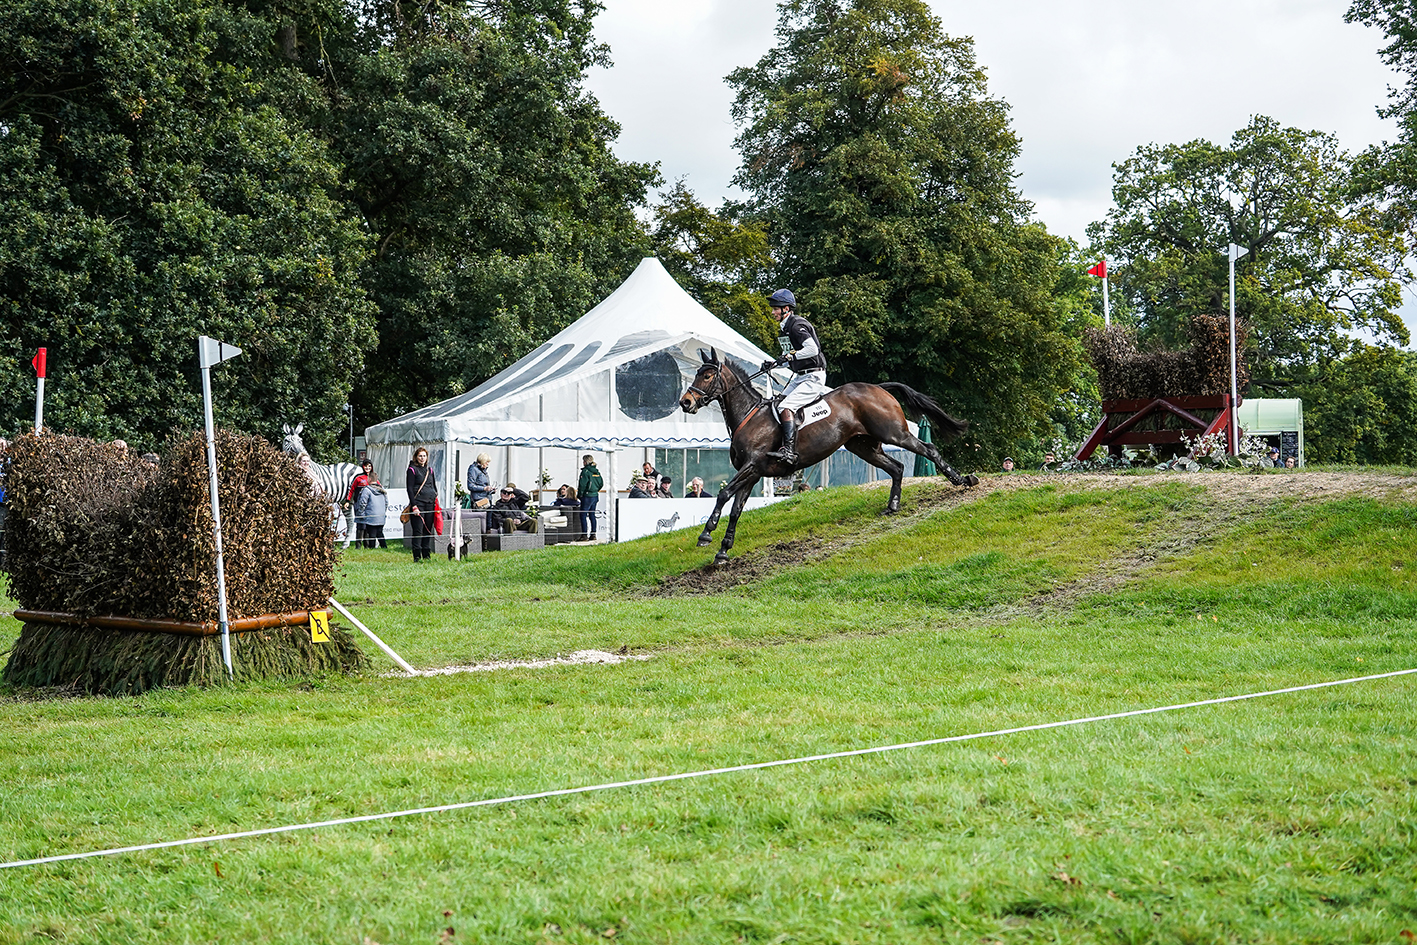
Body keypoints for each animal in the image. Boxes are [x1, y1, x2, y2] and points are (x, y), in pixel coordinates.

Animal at [674, 351, 974, 566]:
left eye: (707, 375)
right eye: (698, 373)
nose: (685, 402)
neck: (750, 415)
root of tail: (877, 387)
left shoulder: (752, 467)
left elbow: (723, 495)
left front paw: (706, 534)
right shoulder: (753, 474)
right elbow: (736, 509)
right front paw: (723, 551)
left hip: (894, 433)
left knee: (928, 450)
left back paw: (962, 480)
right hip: (862, 447)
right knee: (897, 467)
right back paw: (893, 505)